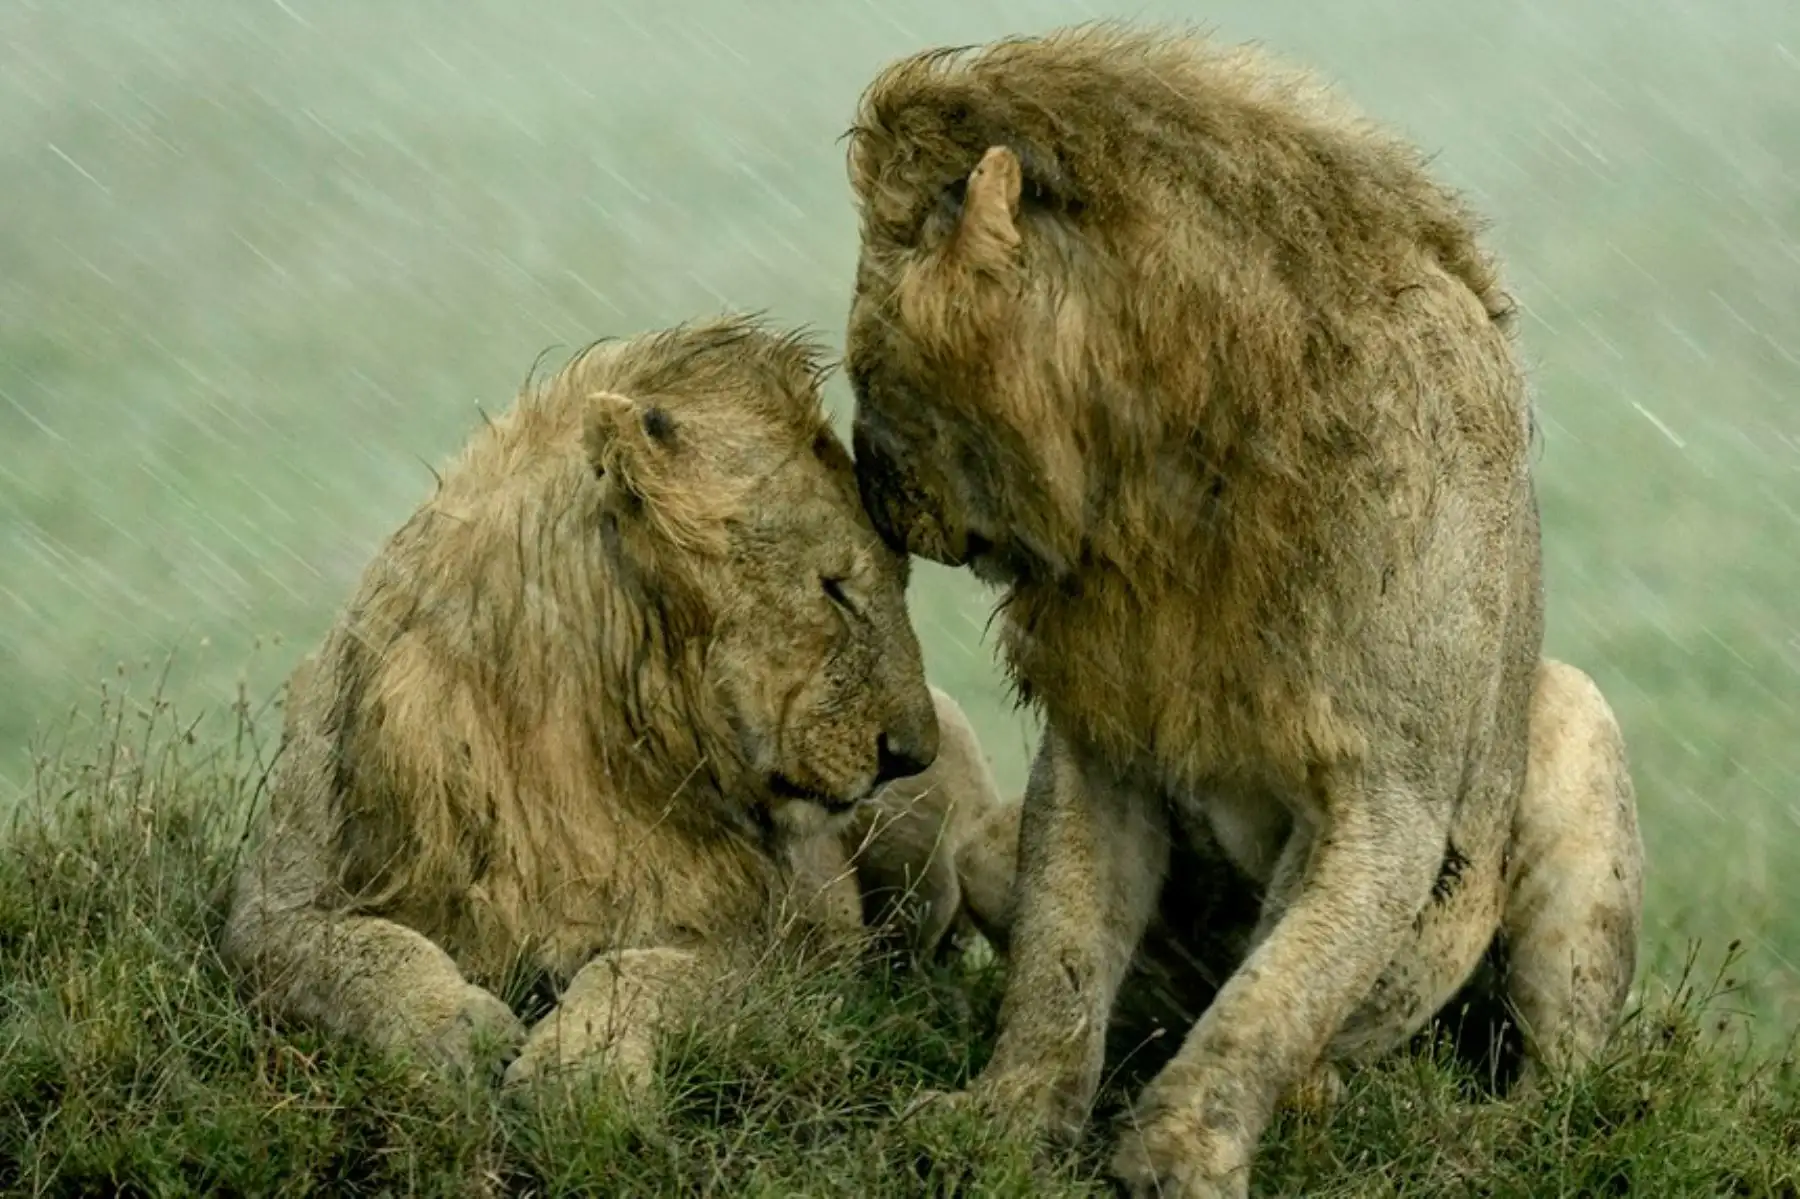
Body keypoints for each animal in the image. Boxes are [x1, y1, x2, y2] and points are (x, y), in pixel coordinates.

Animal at [222, 316, 1021, 1097]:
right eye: (836, 589)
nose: (910, 753)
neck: (565, 731)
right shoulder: (277, 902)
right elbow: (357, 955)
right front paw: (455, 1030)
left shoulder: (776, 952)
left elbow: (639, 969)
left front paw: (583, 1067)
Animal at [841, 24, 1644, 1197]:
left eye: (867, 365)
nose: (868, 482)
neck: (1174, 477)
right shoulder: (1100, 743)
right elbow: (1060, 959)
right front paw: (1001, 1122)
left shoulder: (1388, 797)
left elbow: (1277, 990)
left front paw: (1182, 1152)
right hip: (990, 841)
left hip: (1573, 722)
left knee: (1561, 1071)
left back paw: (1463, 1127)